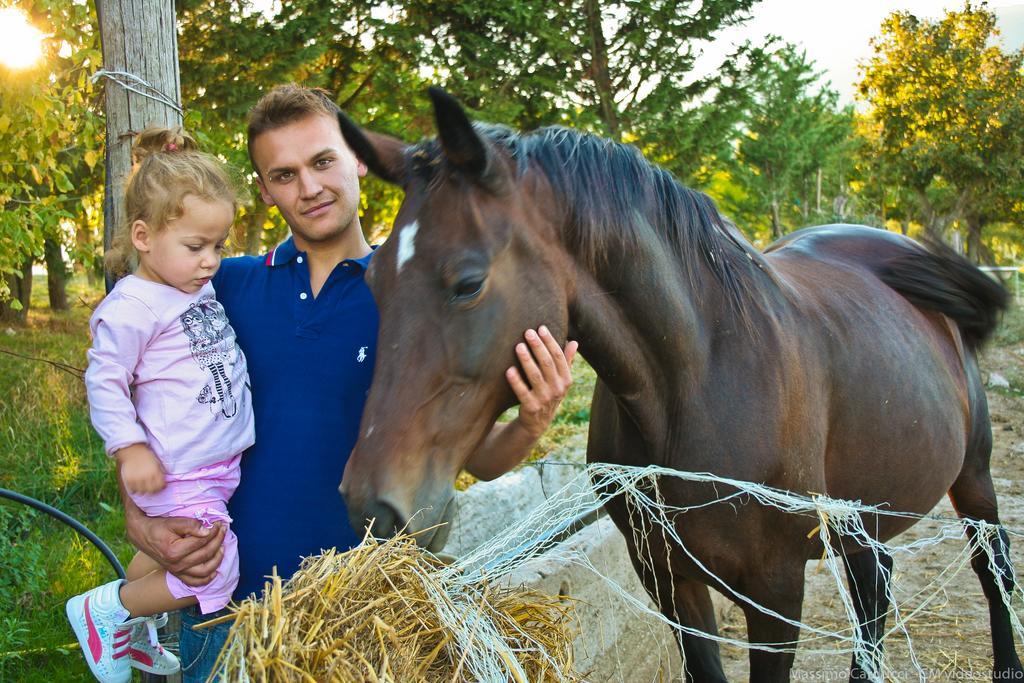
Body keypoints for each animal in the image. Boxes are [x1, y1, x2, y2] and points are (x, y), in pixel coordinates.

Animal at [335, 90, 1015, 683]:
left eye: (468, 283)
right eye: (371, 280)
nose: (371, 504)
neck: (696, 382)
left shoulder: (776, 590)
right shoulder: (668, 579)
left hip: (973, 474)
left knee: (993, 563)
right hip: (859, 508)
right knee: (876, 582)